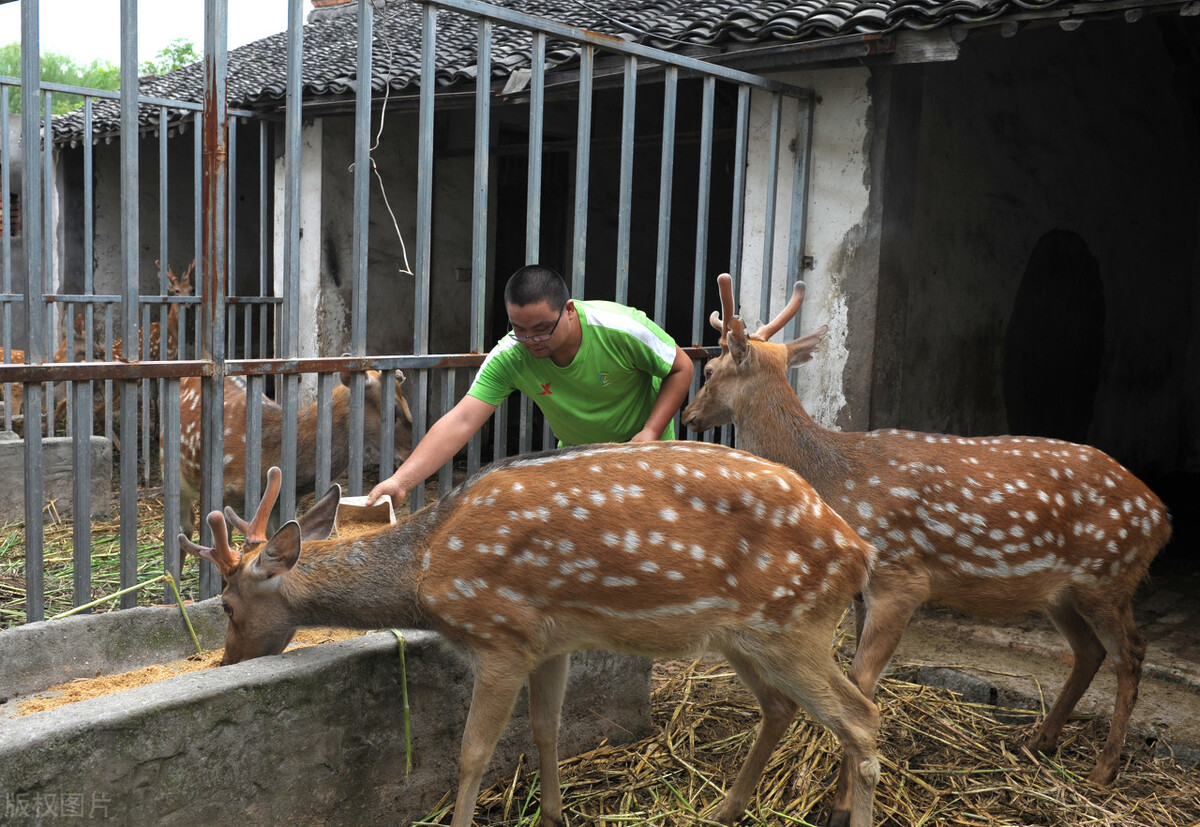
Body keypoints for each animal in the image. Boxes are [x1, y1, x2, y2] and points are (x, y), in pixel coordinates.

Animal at [182, 444, 888, 825]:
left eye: (226, 604)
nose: (224, 662)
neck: (425, 571)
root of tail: (858, 551)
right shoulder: (551, 641)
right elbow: (546, 727)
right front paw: (551, 814)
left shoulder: (500, 633)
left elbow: (471, 753)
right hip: (741, 636)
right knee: (783, 707)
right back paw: (723, 809)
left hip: (790, 622)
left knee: (860, 716)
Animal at [686, 273, 1171, 782]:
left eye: (710, 370)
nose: (689, 416)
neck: (834, 480)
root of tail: (1162, 517)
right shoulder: (864, 590)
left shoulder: (901, 575)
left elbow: (860, 680)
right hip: (1061, 592)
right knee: (1089, 652)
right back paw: (1039, 742)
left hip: (1109, 575)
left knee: (1131, 653)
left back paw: (1103, 769)